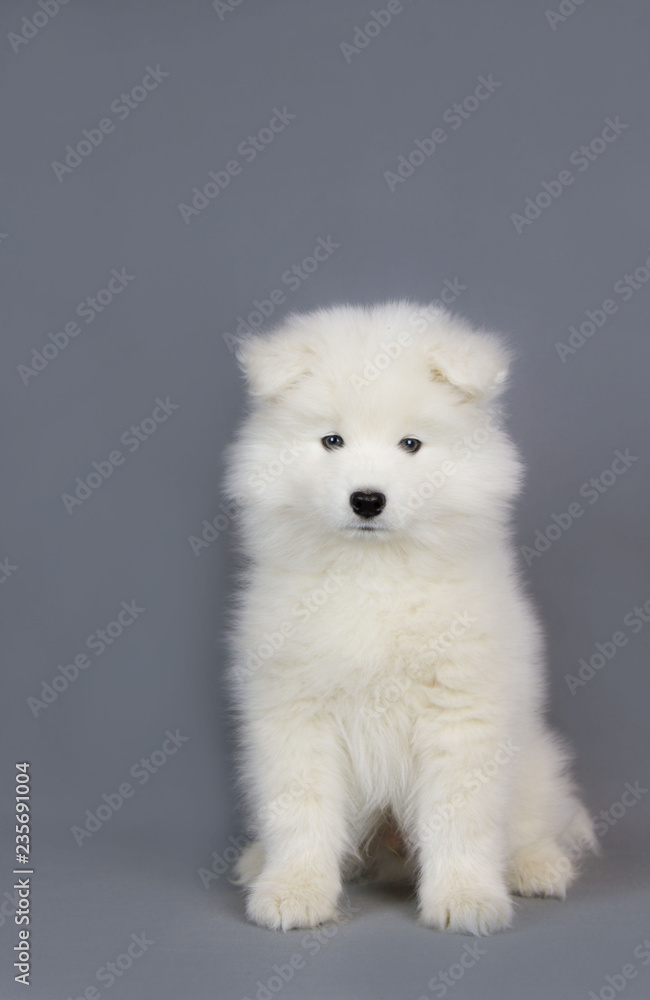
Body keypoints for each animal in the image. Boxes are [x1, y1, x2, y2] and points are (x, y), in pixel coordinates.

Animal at [224, 300, 596, 932]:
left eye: (411, 444)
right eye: (332, 440)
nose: (367, 500)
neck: (374, 574)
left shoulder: (461, 714)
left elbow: (460, 816)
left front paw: (466, 898)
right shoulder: (296, 712)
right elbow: (301, 809)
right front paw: (294, 890)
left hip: (531, 763)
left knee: (533, 821)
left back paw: (536, 867)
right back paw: (258, 863)